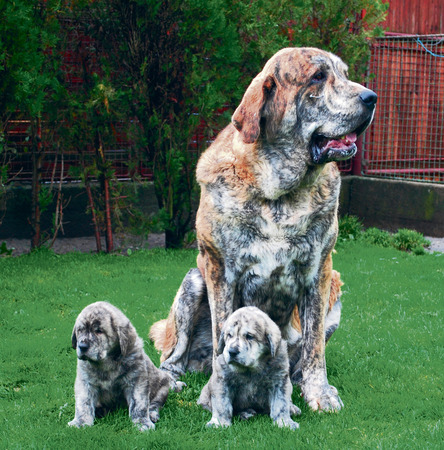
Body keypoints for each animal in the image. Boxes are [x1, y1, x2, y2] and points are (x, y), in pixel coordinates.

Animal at [68, 300, 183, 430]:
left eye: (99, 331)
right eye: (80, 330)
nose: (82, 347)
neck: (106, 362)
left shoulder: (136, 381)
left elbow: (139, 404)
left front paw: (142, 422)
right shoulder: (85, 382)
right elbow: (83, 403)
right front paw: (80, 422)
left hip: (162, 388)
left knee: (155, 404)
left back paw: (152, 414)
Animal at [151, 47, 376, 414]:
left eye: (344, 74)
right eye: (318, 77)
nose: (372, 97)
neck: (280, 193)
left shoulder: (320, 270)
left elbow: (315, 345)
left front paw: (319, 392)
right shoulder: (219, 270)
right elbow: (223, 327)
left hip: (335, 288)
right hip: (193, 283)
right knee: (173, 356)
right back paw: (170, 377)